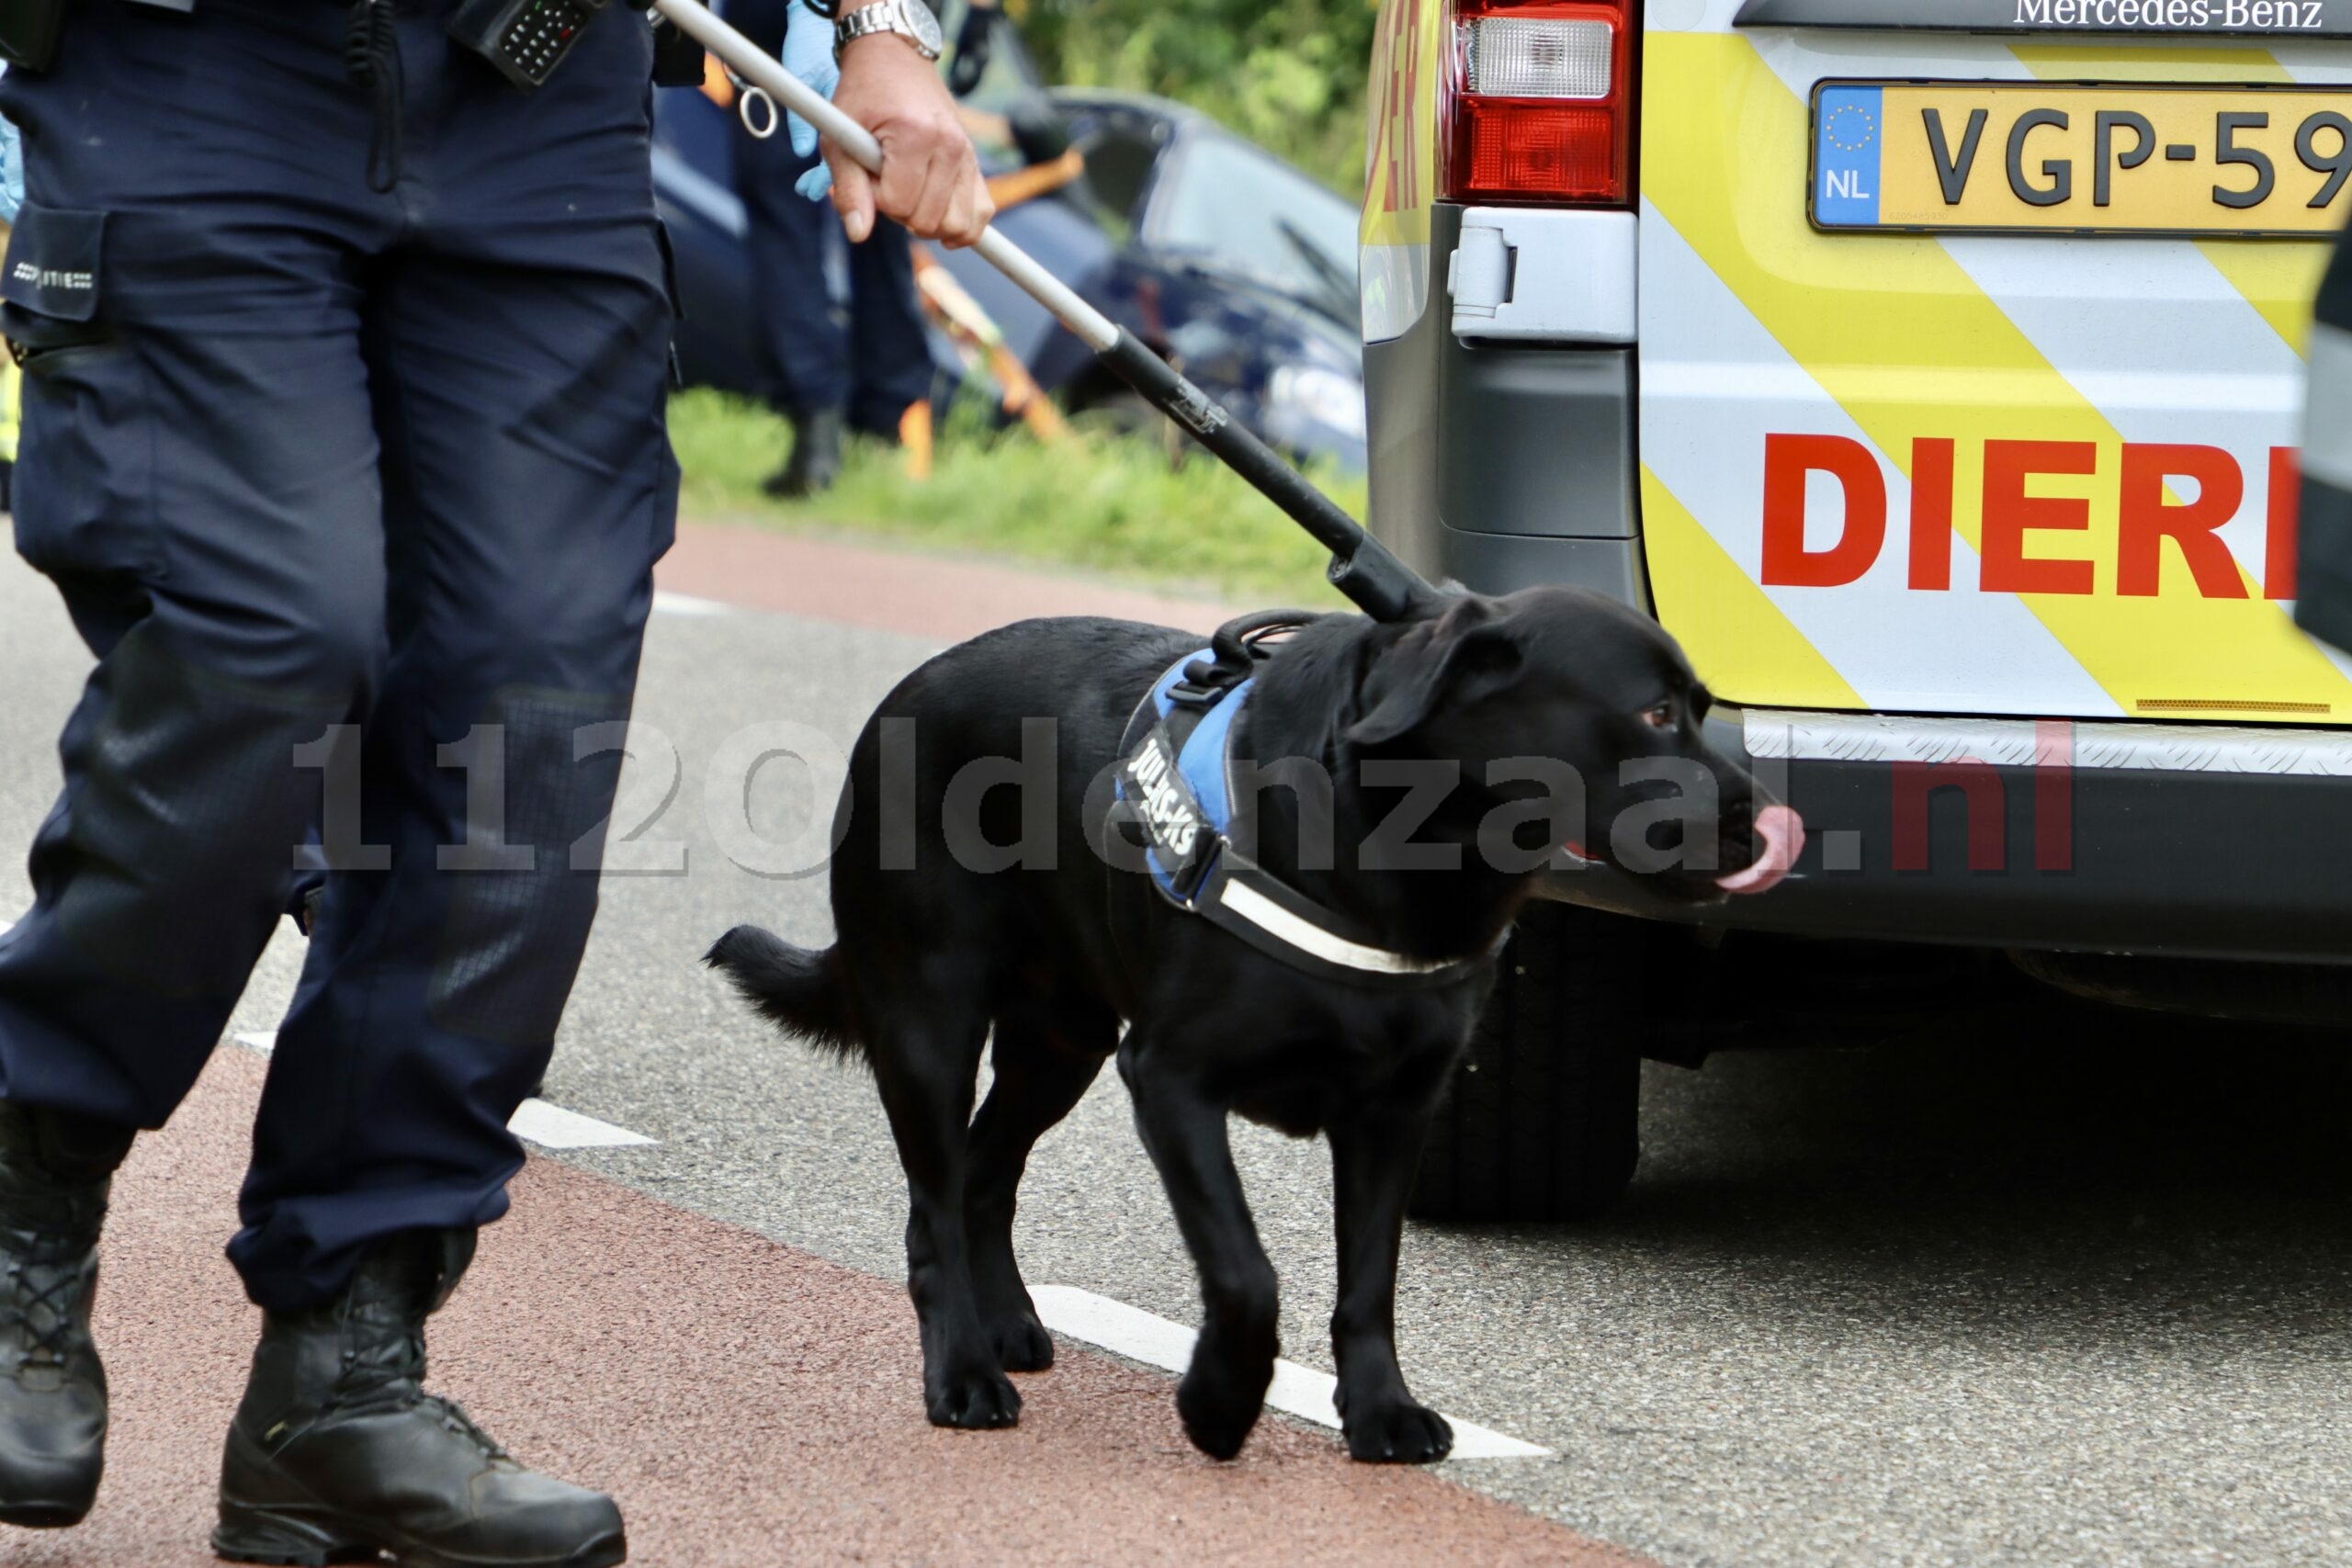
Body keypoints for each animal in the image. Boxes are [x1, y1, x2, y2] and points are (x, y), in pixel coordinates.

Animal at [706, 582, 1787, 1466]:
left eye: (1700, 710)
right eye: (1653, 713)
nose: (1769, 823)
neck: (1396, 848)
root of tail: (903, 692)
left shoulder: (1396, 1111)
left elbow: (1369, 1283)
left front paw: (1380, 1412)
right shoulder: (1172, 1081)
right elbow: (1245, 1273)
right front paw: (1219, 1404)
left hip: (1062, 1041)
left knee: (984, 1173)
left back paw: (1007, 1323)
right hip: (932, 1021)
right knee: (935, 1202)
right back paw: (965, 1373)